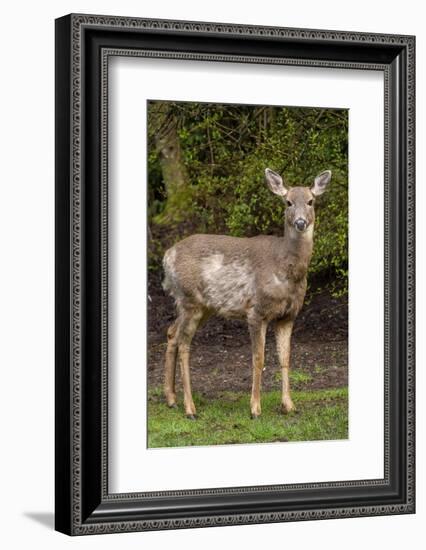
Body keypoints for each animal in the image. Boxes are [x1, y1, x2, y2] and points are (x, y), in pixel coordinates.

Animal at [161, 168, 332, 418]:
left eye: (311, 201)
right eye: (288, 202)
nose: (300, 222)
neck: (285, 268)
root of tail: (166, 256)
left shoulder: (288, 315)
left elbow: (286, 357)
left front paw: (289, 405)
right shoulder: (256, 310)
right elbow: (258, 358)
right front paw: (255, 409)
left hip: (202, 306)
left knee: (172, 332)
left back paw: (171, 399)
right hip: (189, 299)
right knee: (184, 343)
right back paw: (190, 408)